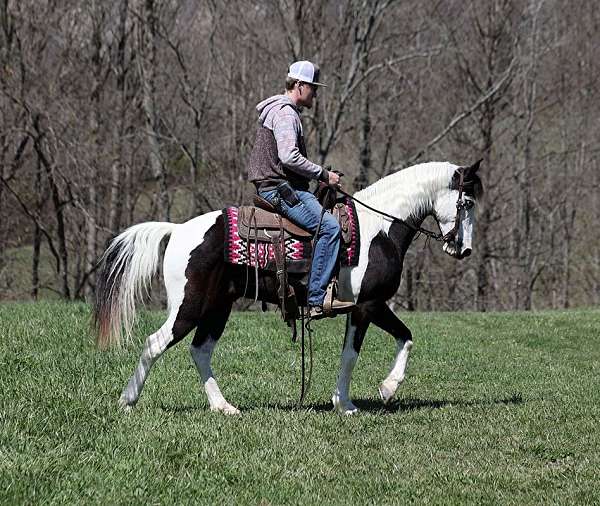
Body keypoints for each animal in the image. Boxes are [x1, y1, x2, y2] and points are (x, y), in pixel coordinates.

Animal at [96, 161, 486, 416]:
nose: (464, 249)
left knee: (200, 351)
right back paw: (127, 401)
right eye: (466, 203)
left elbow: (391, 342)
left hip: (218, 306)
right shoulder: (368, 305)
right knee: (155, 343)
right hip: (188, 306)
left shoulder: (364, 307)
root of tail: (177, 229)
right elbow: (369, 348)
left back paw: (224, 407)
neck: (379, 228)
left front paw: (362, 396)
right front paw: (366, 397)